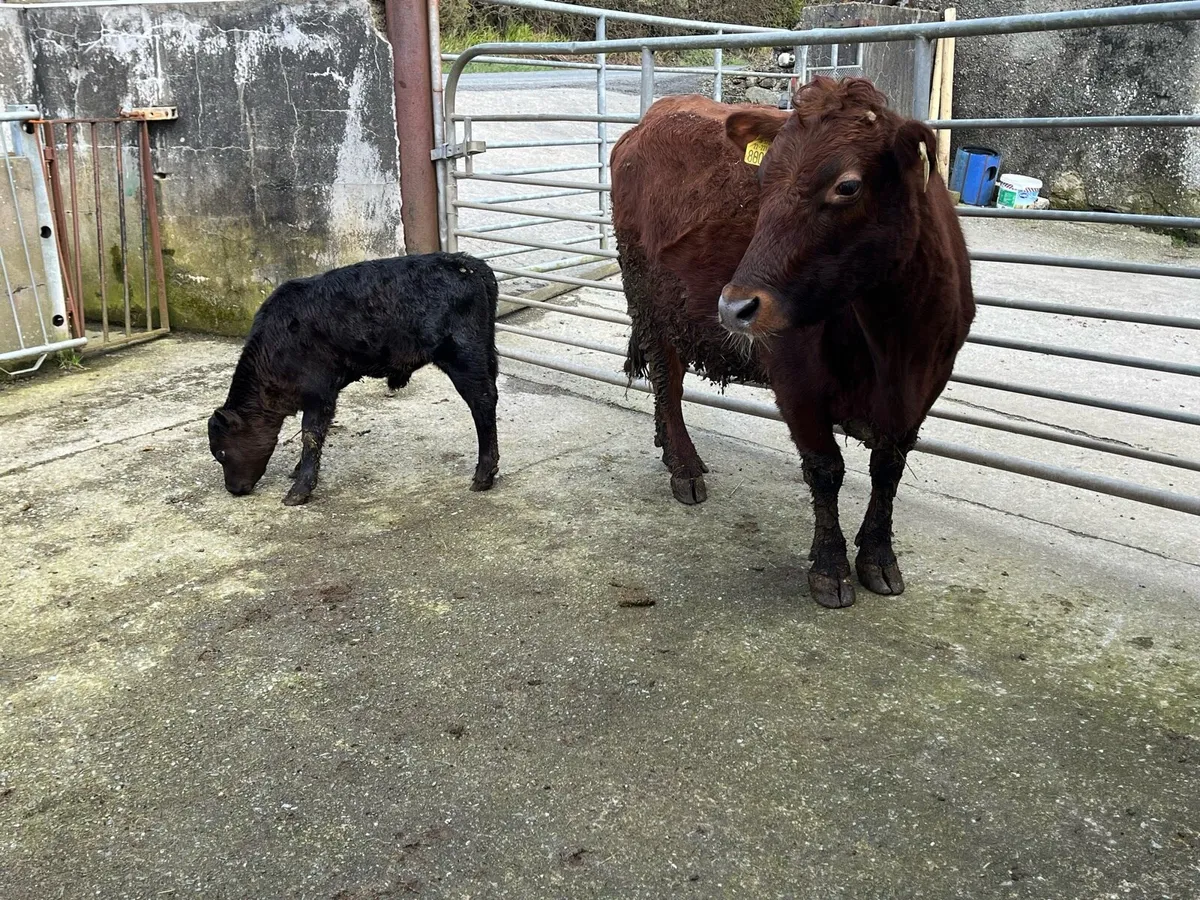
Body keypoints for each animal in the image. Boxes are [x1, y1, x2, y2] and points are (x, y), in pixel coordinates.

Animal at [208, 253, 500, 506]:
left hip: (463, 357)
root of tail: (467, 262)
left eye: (221, 452)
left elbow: (310, 436)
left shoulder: (319, 394)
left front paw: (299, 490)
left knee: (483, 401)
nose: (233, 489)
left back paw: (484, 474)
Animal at [611, 77, 975, 608]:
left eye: (847, 186)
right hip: (651, 303)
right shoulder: (795, 380)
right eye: (762, 182)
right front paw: (830, 567)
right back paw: (684, 466)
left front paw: (879, 558)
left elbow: (888, 469)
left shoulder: (924, 388)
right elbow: (826, 469)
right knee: (668, 383)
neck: (892, 343)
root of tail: (648, 121)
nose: (734, 306)